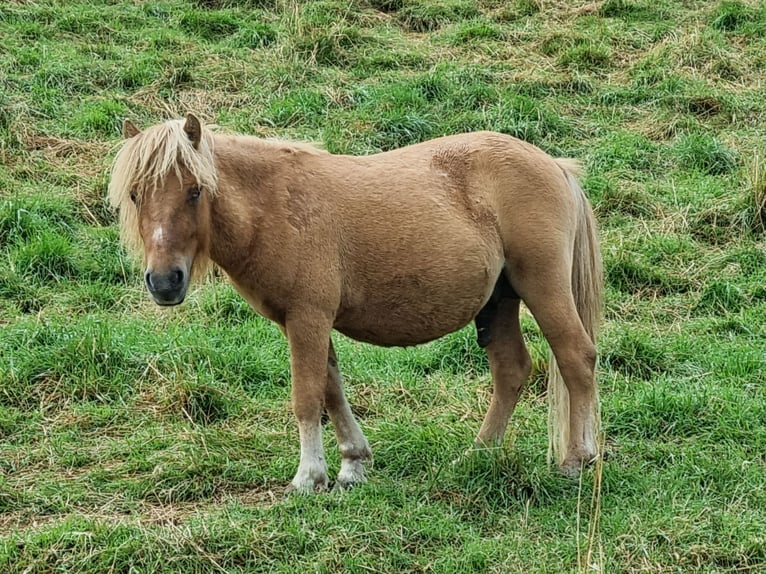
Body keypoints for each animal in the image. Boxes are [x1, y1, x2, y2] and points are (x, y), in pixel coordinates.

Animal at [109, 115, 608, 492]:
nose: (164, 281)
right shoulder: (303, 322)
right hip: (499, 302)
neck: (275, 205)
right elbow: (331, 389)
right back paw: (476, 455)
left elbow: (307, 397)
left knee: (575, 357)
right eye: (135, 195)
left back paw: (577, 459)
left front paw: (308, 477)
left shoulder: (308, 318)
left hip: (542, 286)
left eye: (194, 190)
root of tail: (554, 166)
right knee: (511, 371)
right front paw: (353, 465)